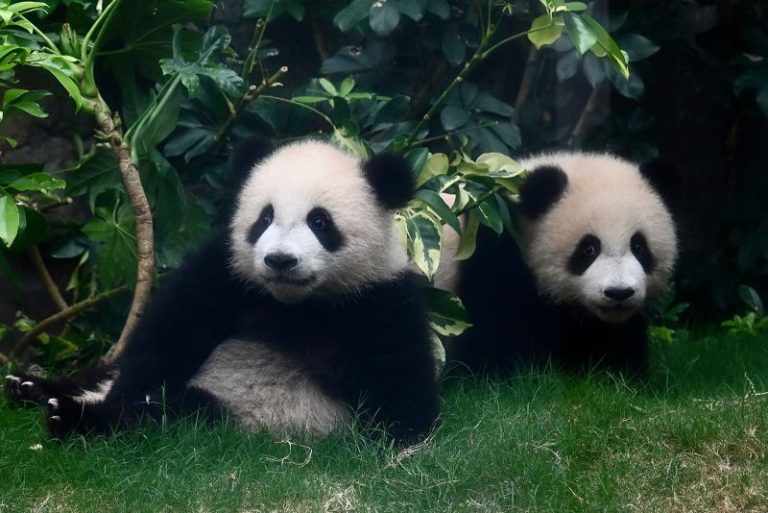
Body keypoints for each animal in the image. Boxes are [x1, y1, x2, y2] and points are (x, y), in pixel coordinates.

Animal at [5, 139, 440, 443]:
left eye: (320, 222)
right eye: (264, 219)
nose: (280, 260)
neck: (294, 304)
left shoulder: (378, 300)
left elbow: (403, 402)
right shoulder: (227, 274)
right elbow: (168, 335)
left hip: (236, 410)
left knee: (173, 415)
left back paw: (74, 417)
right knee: (106, 372)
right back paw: (33, 387)